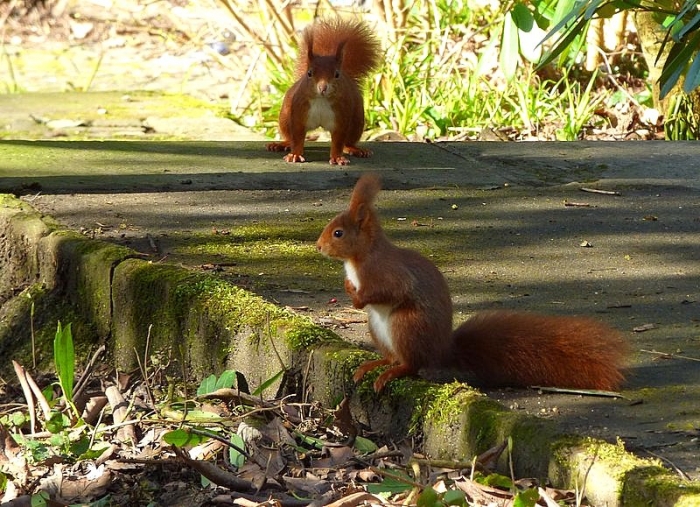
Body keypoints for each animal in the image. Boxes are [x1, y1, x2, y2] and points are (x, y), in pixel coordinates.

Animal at [266, 18, 380, 166]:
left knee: (347, 142)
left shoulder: (341, 117)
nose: (323, 88)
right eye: (309, 73)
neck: (321, 101)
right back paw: (282, 144)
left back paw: (355, 149)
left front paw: (337, 158)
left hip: (356, 121)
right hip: (285, 117)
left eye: (337, 74)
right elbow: (297, 138)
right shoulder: (298, 114)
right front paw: (295, 155)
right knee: (289, 136)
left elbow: (338, 141)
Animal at [316, 174, 628, 393]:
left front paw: (356, 296)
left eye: (338, 233)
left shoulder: (386, 272)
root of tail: (443, 351)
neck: (360, 258)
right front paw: (348, 288)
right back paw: (374, 364)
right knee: (394, 358)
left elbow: (390, 290)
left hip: (407, 325)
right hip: (378, 329)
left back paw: (390, 373)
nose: (318, 247)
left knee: (411, 365)